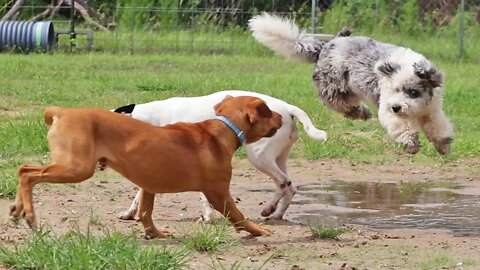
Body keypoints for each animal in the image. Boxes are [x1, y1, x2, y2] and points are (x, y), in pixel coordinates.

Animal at [9, 96, 282, 237]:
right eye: (268, 111)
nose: (281, 116)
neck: (224, 129)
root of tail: (62, 112)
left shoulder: (148, 185)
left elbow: (145, 212)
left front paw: (155, 234)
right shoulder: (218, 193)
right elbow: (238, 216)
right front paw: (258, 230)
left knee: (23, 170)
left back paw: (16, 209)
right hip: (76, 168)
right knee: (28, 173)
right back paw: (29, 214)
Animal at [114, 89, 328, 220]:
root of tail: (288, 108)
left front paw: (207, 217)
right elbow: (140, 193)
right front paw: (130, 212)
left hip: (260, 157)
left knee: (283, 182)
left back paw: (269, 209)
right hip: (278, 158)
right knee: (290, 187)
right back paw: (277, 214)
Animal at [248, 13, 454, 156]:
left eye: (412, 91)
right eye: (395, 89)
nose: (396, 107)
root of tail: (326, 45)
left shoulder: (431, 111)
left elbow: (438, 126)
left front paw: (443, 144)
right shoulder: (388, 107)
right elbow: (401, 126)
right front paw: (410, 143)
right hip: (333, 88)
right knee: (341, 105)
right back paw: (361, 113)